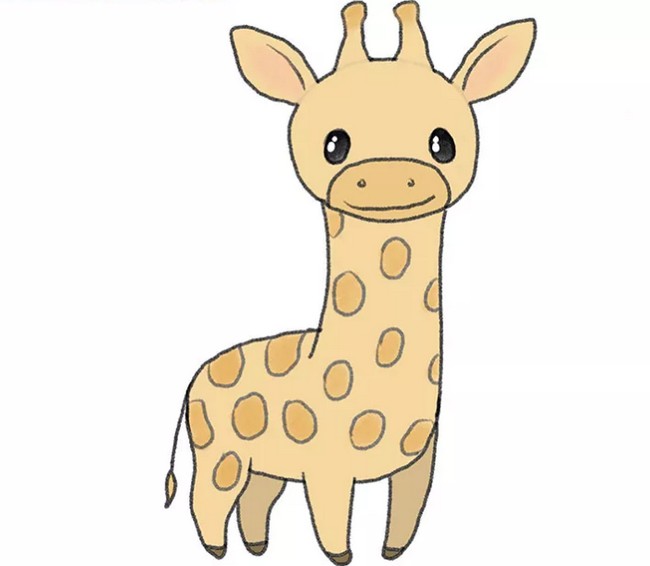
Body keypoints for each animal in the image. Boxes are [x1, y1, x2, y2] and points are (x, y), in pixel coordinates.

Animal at [164, 2, 536, 564]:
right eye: (333, 145)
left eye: (443, 143)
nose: (390, 177)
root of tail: (194, 379)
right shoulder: (326, 466)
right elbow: (333, 529)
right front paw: (344, 559)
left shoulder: (419, 460)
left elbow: (404, 518)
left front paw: (391, 554)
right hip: (219, 449)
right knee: (206, 496)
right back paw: (217, 550)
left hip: (264, 460)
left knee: (256, 497)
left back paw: (258, 547)